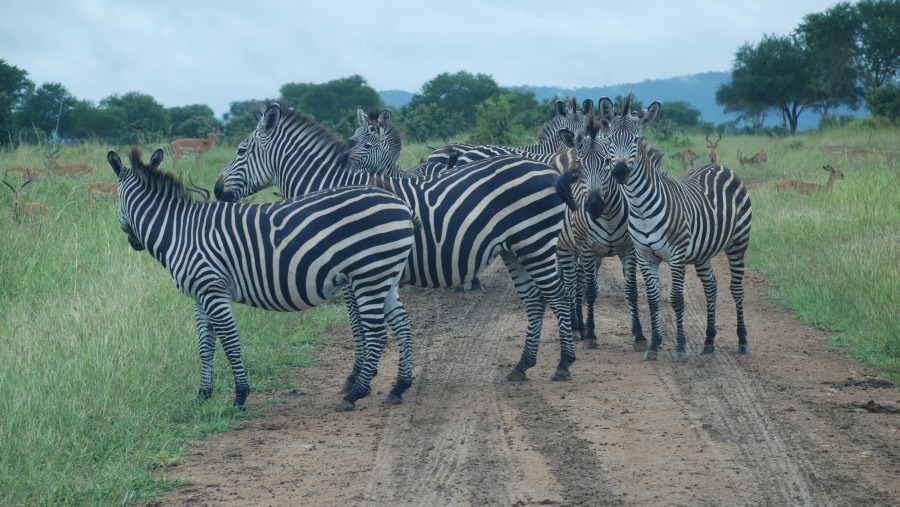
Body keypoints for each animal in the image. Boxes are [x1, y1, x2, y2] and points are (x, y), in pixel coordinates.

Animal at [107, 146, 416, 408]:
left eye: (117, 199)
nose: (133, 242)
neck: (179, 231)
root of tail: (399, 203)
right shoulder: (199, 295)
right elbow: (205, 346)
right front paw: (202, 395)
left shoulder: (213, 289)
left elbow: (230, 343)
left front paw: (240, 396)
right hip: (385, 275)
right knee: (403, 326)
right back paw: (399, 387)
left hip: (369, 275)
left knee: (378, 335)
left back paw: (355, 393)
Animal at [216, 100, 584, 384]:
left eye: (241, 150)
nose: (218, 191)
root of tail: (548, 169)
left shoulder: (351, 272)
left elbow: (359, 324)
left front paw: (357, 375)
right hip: (516, 249)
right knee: (535, 300)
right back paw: (522, 365)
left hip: (535, 243)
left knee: (559, 296)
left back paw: (564, 363)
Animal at [596, 94, 752, 362]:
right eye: (610, 141)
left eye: (636, 140)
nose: (620, 171)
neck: (640, 207)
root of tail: (719, 166)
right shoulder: (645, 255)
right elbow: (653, 300)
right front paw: (653, 345)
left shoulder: (677, 256)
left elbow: (677, 299)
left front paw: (680, 347)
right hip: (703, 252)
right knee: (711, 287)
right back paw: (708, 341)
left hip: (738, 243)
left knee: (736, 289)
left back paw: (742, 340)